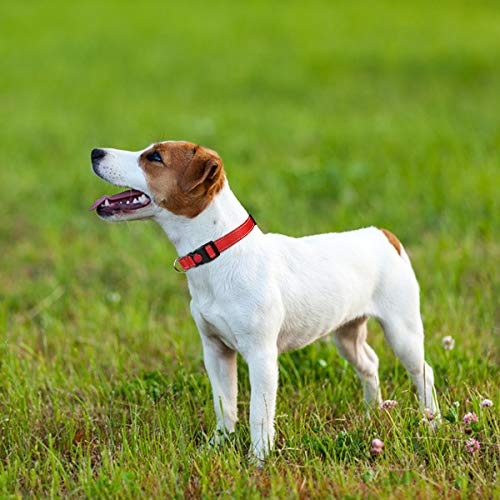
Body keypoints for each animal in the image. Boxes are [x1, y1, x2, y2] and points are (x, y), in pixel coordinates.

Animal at [92, 141, 440, 460]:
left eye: (154, 156)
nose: (95, 152)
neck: (219, 252)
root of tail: (383, 235)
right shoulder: (215, 350)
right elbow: (225, 405)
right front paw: (217, 445)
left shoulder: (261, 356)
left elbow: (258, 414)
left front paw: (258, 460)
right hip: (346, 333)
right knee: (369, 363)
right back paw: (371, 411)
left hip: (402, 330)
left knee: (423, 371)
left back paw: (432, 422)